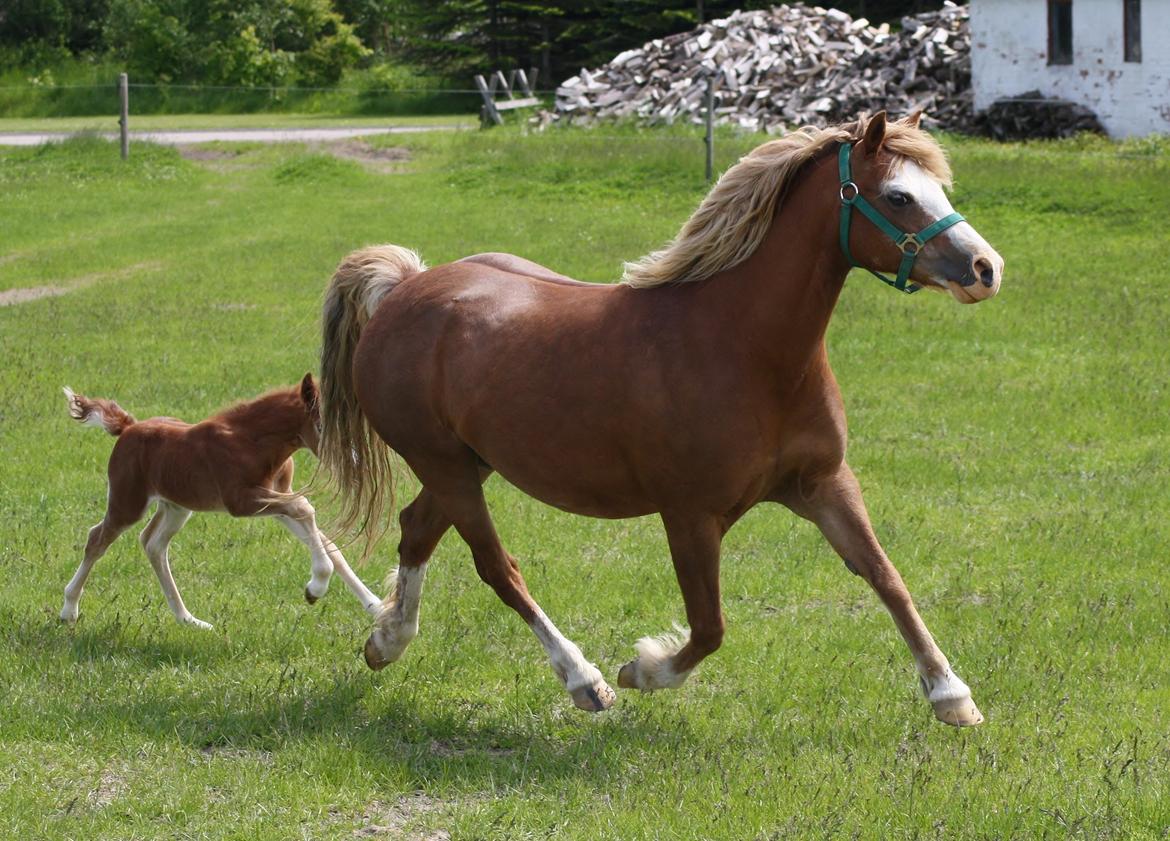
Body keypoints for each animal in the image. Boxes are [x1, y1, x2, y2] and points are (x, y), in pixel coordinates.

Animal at [60, 374, 379, 626]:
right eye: (323, 426)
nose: (355, 464)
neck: (252, 442)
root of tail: (128, 428)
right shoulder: (242, 502)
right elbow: (306, 509)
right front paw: (316, 588)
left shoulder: (278, 499)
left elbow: (326, 541)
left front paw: (375, 606)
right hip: (129, 502)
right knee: (97, 539)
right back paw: (69, 610)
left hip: (177, 505)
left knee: (153, 543)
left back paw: (189, 620)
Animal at [318, 115, 1006, 725]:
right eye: (898, 195)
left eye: (939, 188)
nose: (986, 269)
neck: (744, 350)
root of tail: (405, 288)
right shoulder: (690, 516)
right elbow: (709, 628)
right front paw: (642, 670)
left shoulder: (825, 485)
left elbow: (887, 578)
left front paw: (951, 695)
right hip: (447, 467)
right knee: (497, 567)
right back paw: (583, 680)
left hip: (467, 465)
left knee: (416, 530)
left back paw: (386, 641)